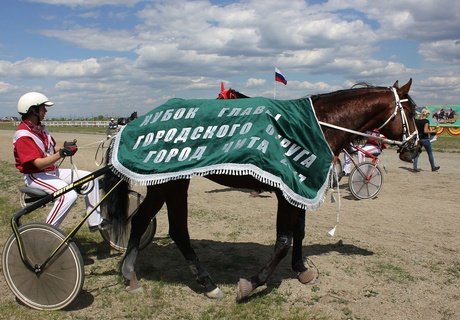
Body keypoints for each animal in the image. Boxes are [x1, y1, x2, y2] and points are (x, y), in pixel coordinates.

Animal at [102, 77, 418, 300]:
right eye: (412, 110)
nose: (413, 148)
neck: (315, 125)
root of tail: (134, 122)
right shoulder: (286, 192)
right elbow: (283, 241)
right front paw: (252, 284)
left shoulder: (300, 187)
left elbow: (299, 232)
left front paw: (301, 269)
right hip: (171, 183)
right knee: (168, 228)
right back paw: (201, 282)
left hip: (167, 183)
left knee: (147, 222)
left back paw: (135, 275)